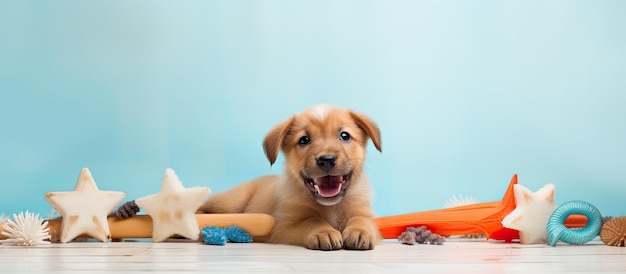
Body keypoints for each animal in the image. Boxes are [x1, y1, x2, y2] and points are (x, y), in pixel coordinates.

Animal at [197, 105, 380, 250]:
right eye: (304, 140)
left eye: (345, 136)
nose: (327, 160)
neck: (331, 206)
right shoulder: (284, 227)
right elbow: (311, 220)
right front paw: (324, 231)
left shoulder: (366, 213)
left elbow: (361, 218)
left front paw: (360, 231)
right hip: (232, 202)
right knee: (207, 204)